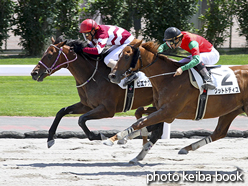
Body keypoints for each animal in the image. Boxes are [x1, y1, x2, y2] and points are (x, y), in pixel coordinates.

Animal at [30, 36, 163, 148]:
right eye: (44, 53)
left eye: (50, 55)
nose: (34, 73)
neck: (93, 75)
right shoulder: (87, 105)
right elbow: (61, 112)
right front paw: (50, 139)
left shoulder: (108, 109)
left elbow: (81, 119)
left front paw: (99, 135)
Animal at [105, 39, 248, 160]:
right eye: (118, 55)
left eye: (127, 56)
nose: (112, 76)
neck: (168, 78)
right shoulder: (160, 109)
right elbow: (139, 114)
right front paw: (139, 144)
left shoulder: (168, 113)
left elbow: (139, 123)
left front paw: (113, 139)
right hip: (232, 110)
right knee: (220, 132)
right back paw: (187, 148)